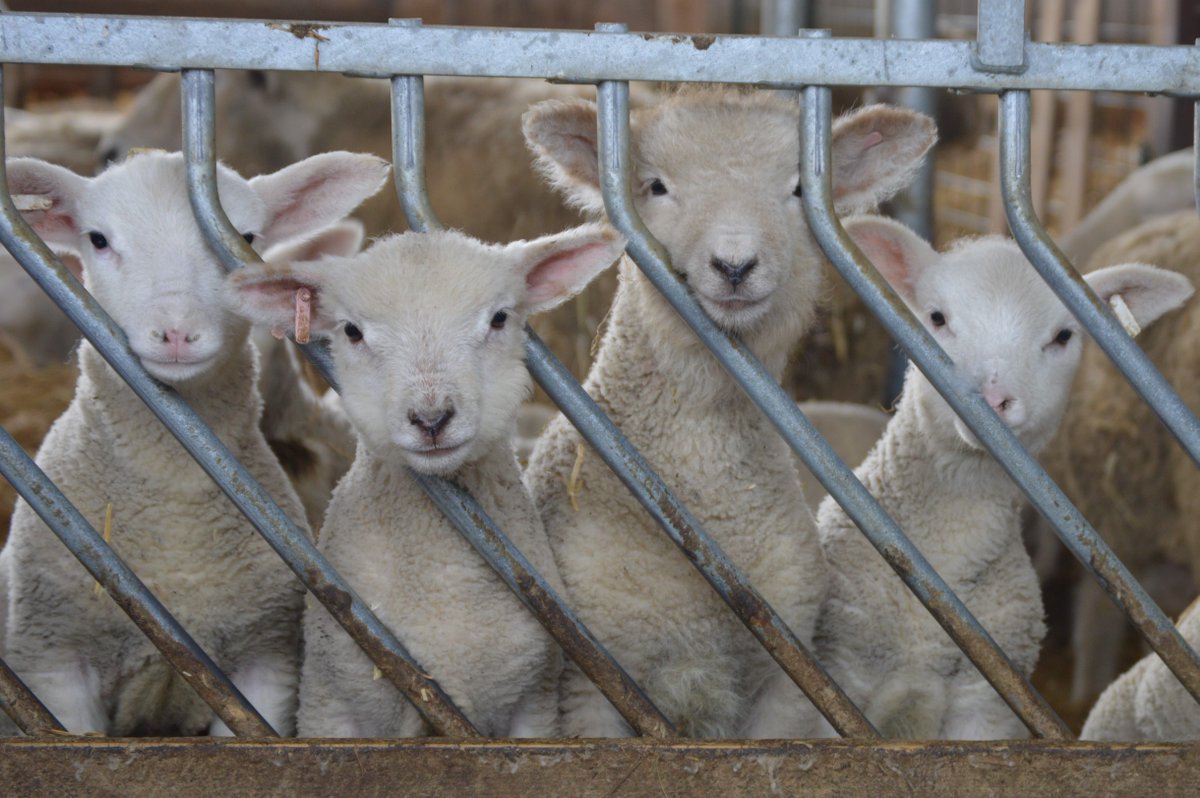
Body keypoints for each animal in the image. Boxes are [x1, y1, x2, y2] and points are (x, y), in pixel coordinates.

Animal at [0, 149, 389, 735]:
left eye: (245, 238)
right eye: (98, 239)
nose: (177, 332)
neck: (173, 498)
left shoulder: (266, 662)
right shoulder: (52, 660)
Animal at [225, 222, 625, 738]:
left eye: (499, 318)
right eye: (351, 331)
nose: (431, 419)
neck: (441, 576)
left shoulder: (534, 704)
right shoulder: (328, 703)